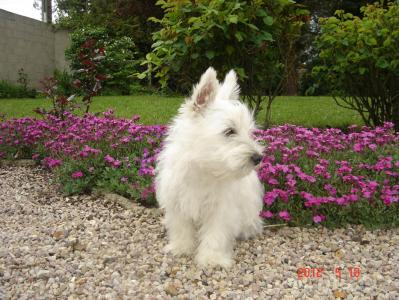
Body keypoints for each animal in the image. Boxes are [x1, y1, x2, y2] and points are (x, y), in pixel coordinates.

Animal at [156, 67, 266, 268]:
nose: (258, 158)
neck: (204, 167)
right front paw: (180, 248)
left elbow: (216, 235)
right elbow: (181, 228)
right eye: (229, 131)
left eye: (249, 131)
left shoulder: (221, 210)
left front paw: (211, 258)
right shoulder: (177, 203)